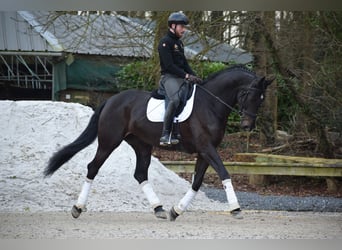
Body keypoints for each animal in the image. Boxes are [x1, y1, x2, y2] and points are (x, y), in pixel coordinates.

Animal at [44, 64, 272, 221]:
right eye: (248, 94)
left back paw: (159, 208)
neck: (210, 104)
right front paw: (236, 209)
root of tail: (111, 100)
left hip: (142, 145)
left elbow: (197, 182)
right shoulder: (206, 148)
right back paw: (77, 208)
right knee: (93, 167)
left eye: (262, 100)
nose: (247, 126)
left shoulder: (205, 151)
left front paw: (176, 210)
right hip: (109, 142)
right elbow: (224, 173)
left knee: (140, 174)